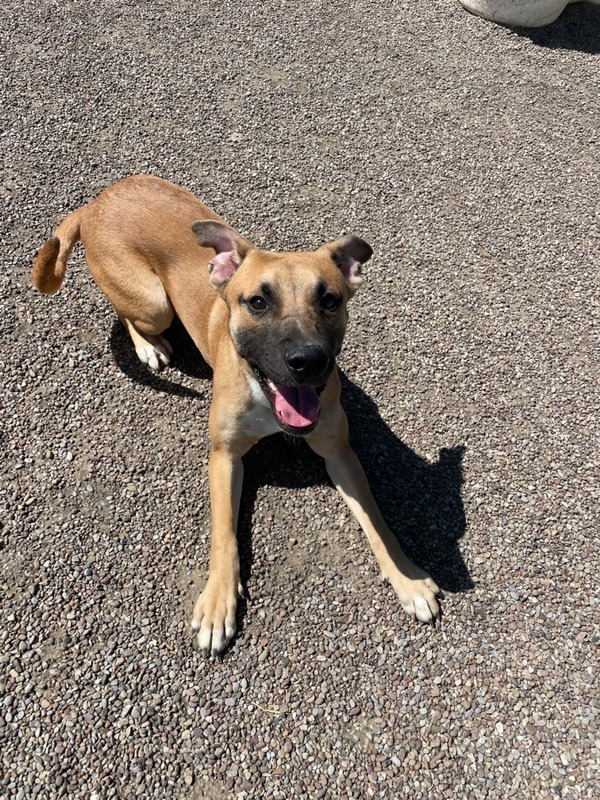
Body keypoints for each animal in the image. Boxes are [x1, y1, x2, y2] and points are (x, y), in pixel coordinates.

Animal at [34, 175, 440, 656]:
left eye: (330, 299)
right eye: (257, 302)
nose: (308, 361)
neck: (263, 394)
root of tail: (97, 201)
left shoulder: (339, 452)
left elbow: (377, 523)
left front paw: (407, 578)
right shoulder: (223, 457)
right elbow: (224, 535)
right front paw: (217, 602)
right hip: (154, 303)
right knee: (130, 316)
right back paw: (149, 347)